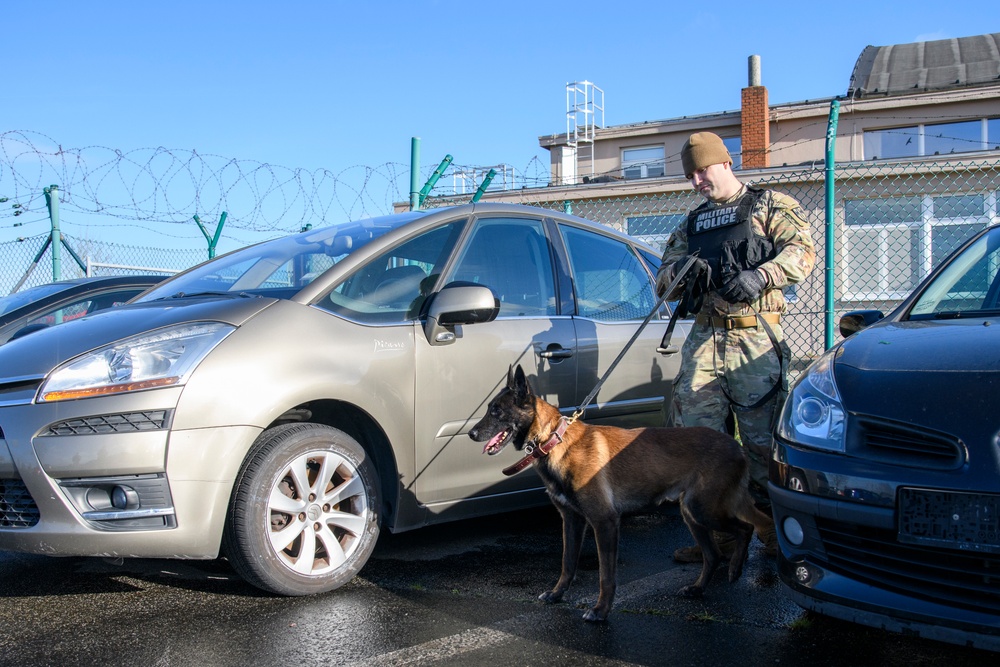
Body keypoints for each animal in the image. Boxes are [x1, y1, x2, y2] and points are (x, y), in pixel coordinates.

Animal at [468, 366, 772, 620]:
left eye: (496, 411)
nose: (471, 434)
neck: (554, 440)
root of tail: (737, 446)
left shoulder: (604, 522)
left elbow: (605, 574)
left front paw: (601, 611)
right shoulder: (572, 521)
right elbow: (567, 563)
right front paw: (556, 594)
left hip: (704, 510)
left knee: (745, 528)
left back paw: (736, 568)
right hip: (692, 514)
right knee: (713, 555)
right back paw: (698, 589)